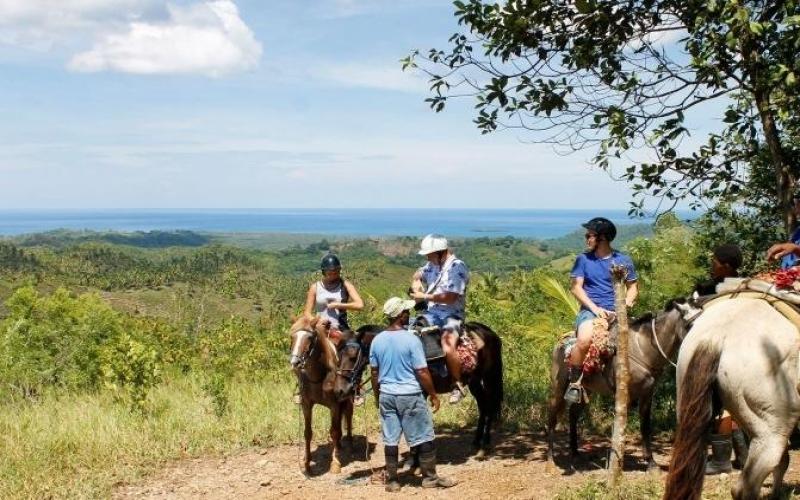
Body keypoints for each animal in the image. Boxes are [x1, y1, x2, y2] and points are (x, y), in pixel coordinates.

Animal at [288, 316, 354, 475]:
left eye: (310, 337)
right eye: (292, 337)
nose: (295, 362)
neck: (318, 375)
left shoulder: (334, 405)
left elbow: (334, 432)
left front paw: (335, 463)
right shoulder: (306, 405)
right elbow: (307, 432)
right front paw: (306, 463)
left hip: (348, 398)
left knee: (348, 416)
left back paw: (349, 444)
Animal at [335, 320, 504, 457]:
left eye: (353, 356)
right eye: (338, 355)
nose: (341, 390)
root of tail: (489, 332)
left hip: (489, 378)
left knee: (489, 406)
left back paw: (484, 445)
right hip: (474, 381)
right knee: (483, 407)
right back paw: (476, 442)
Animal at [546, 299, 694, 471]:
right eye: (690, 324)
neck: (641, 349)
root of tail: (561, 342)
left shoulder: (647, 393)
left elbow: (645, 426)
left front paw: (651, 463)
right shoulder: (625, 394)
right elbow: (620, 426)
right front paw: (616, 463)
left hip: (586, 389)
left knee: (573, 414)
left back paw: (575, 453)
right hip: (558, 387)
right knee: (552, 416)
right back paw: (550, 460)